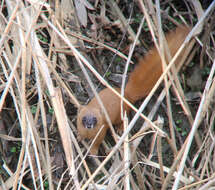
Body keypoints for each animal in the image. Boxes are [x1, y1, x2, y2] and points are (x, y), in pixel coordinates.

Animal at [77, 24, 190, 154]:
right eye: (84, 118)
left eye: (94, 119)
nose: (89, 124)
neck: (89, 132)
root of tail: (126, 94)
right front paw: (79, 137)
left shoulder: (102, 130)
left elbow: (97, 142)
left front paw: (93, 151)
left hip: (122, 113)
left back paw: (120, 128)